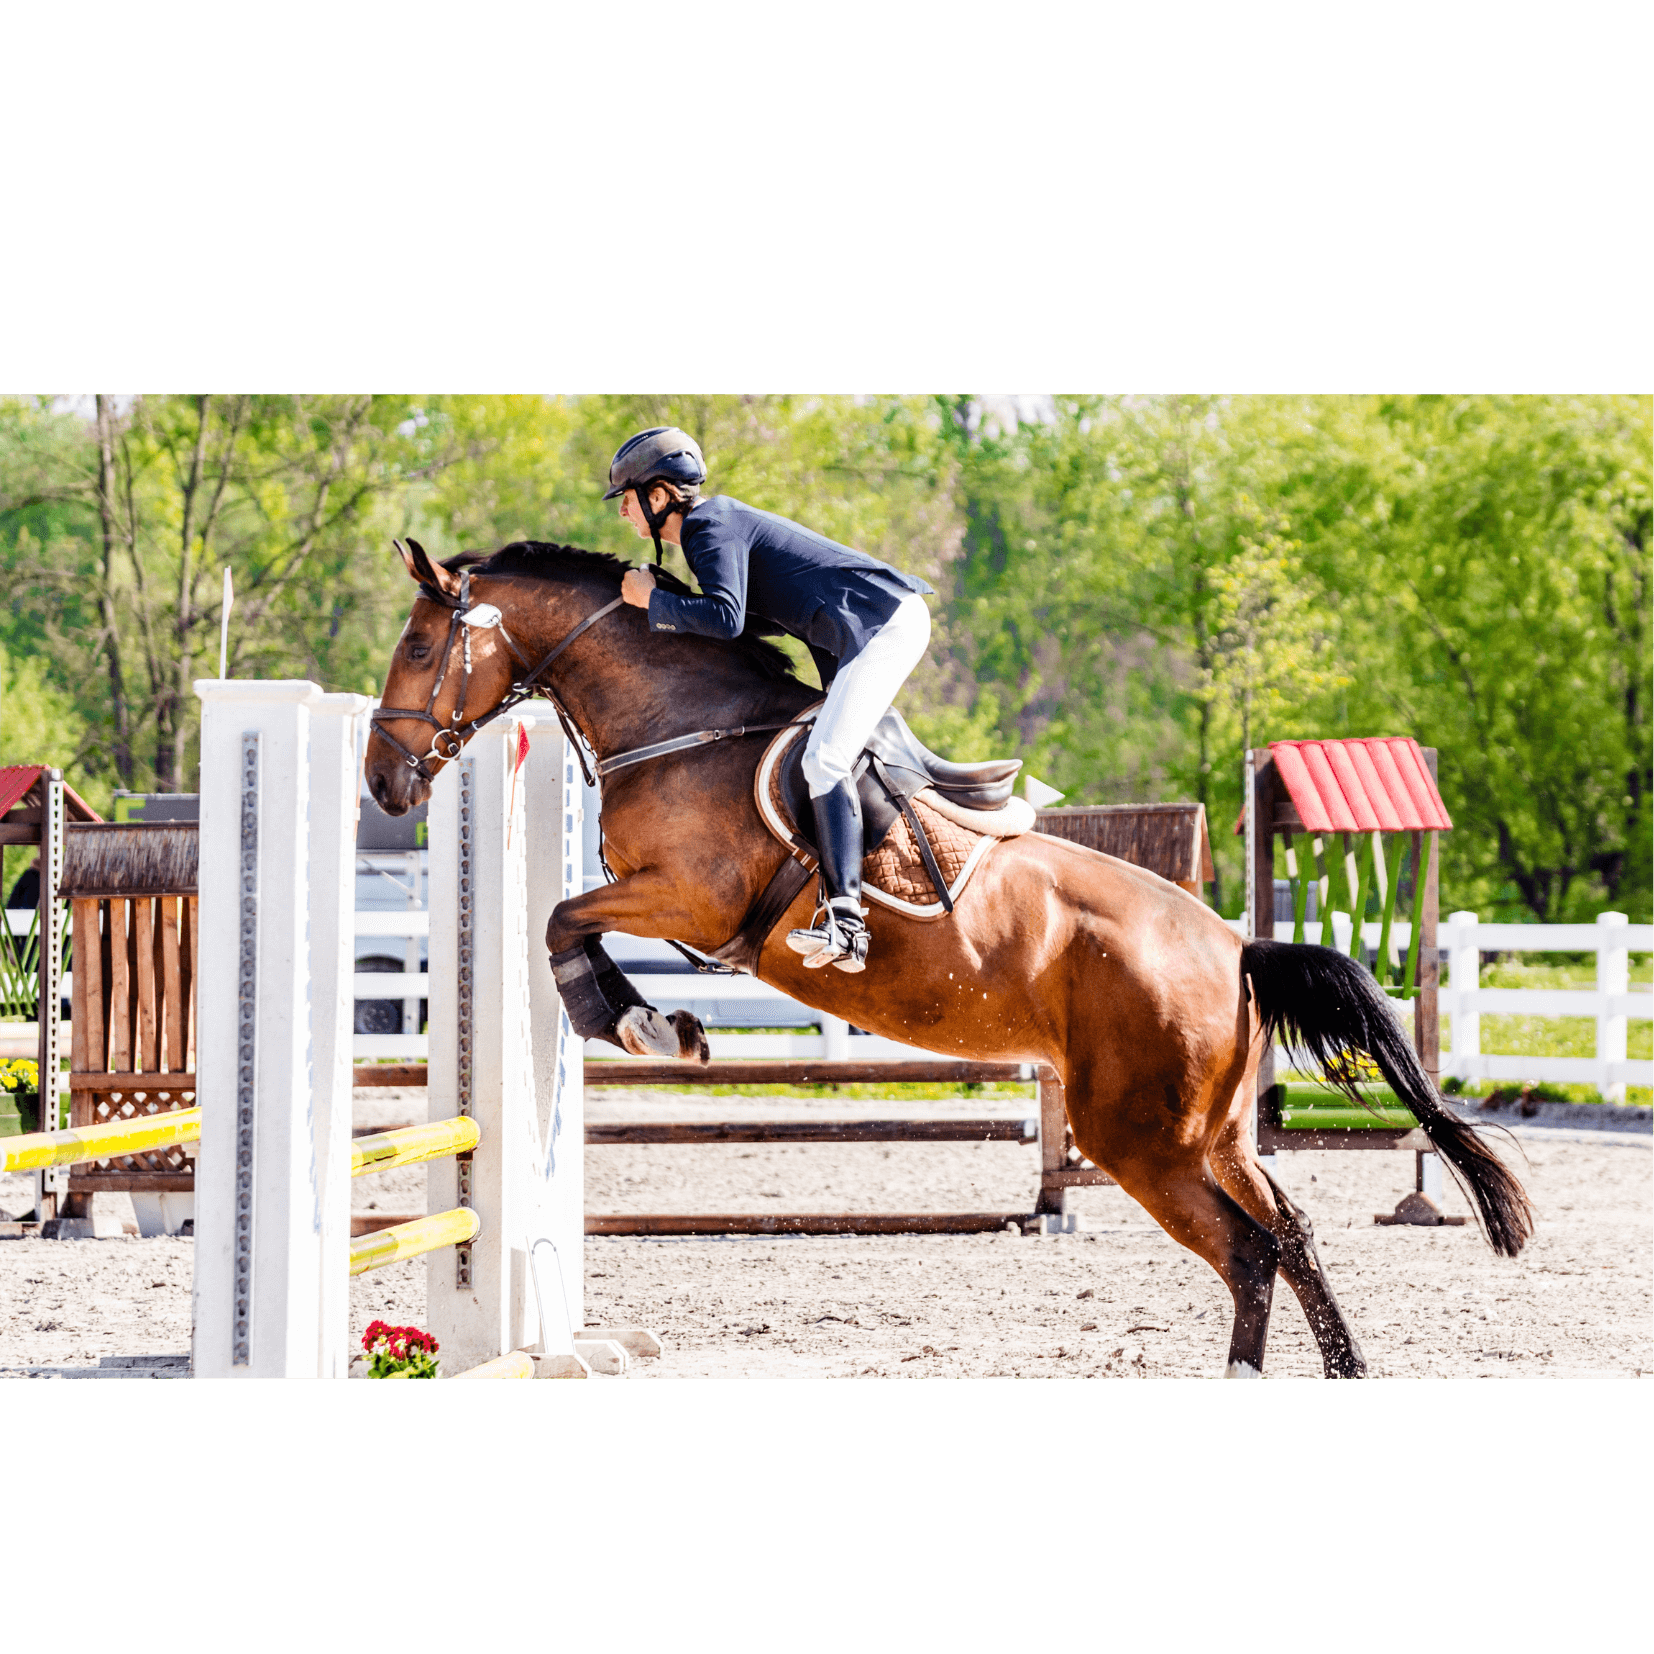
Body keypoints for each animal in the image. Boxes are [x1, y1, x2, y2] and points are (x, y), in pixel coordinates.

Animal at [368, 535, 1528, 1376]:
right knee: (1284, 1236)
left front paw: (639, 1020)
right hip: (1209, 1133)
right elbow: (568, 918)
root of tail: (1237, 946)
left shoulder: (687, 896)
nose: (383, 783)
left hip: (1142, 1138)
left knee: (1251, 1247)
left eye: (420, 650)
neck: (680, 723)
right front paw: (651, 1019)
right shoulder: (670, 899)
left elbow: (564, 920)